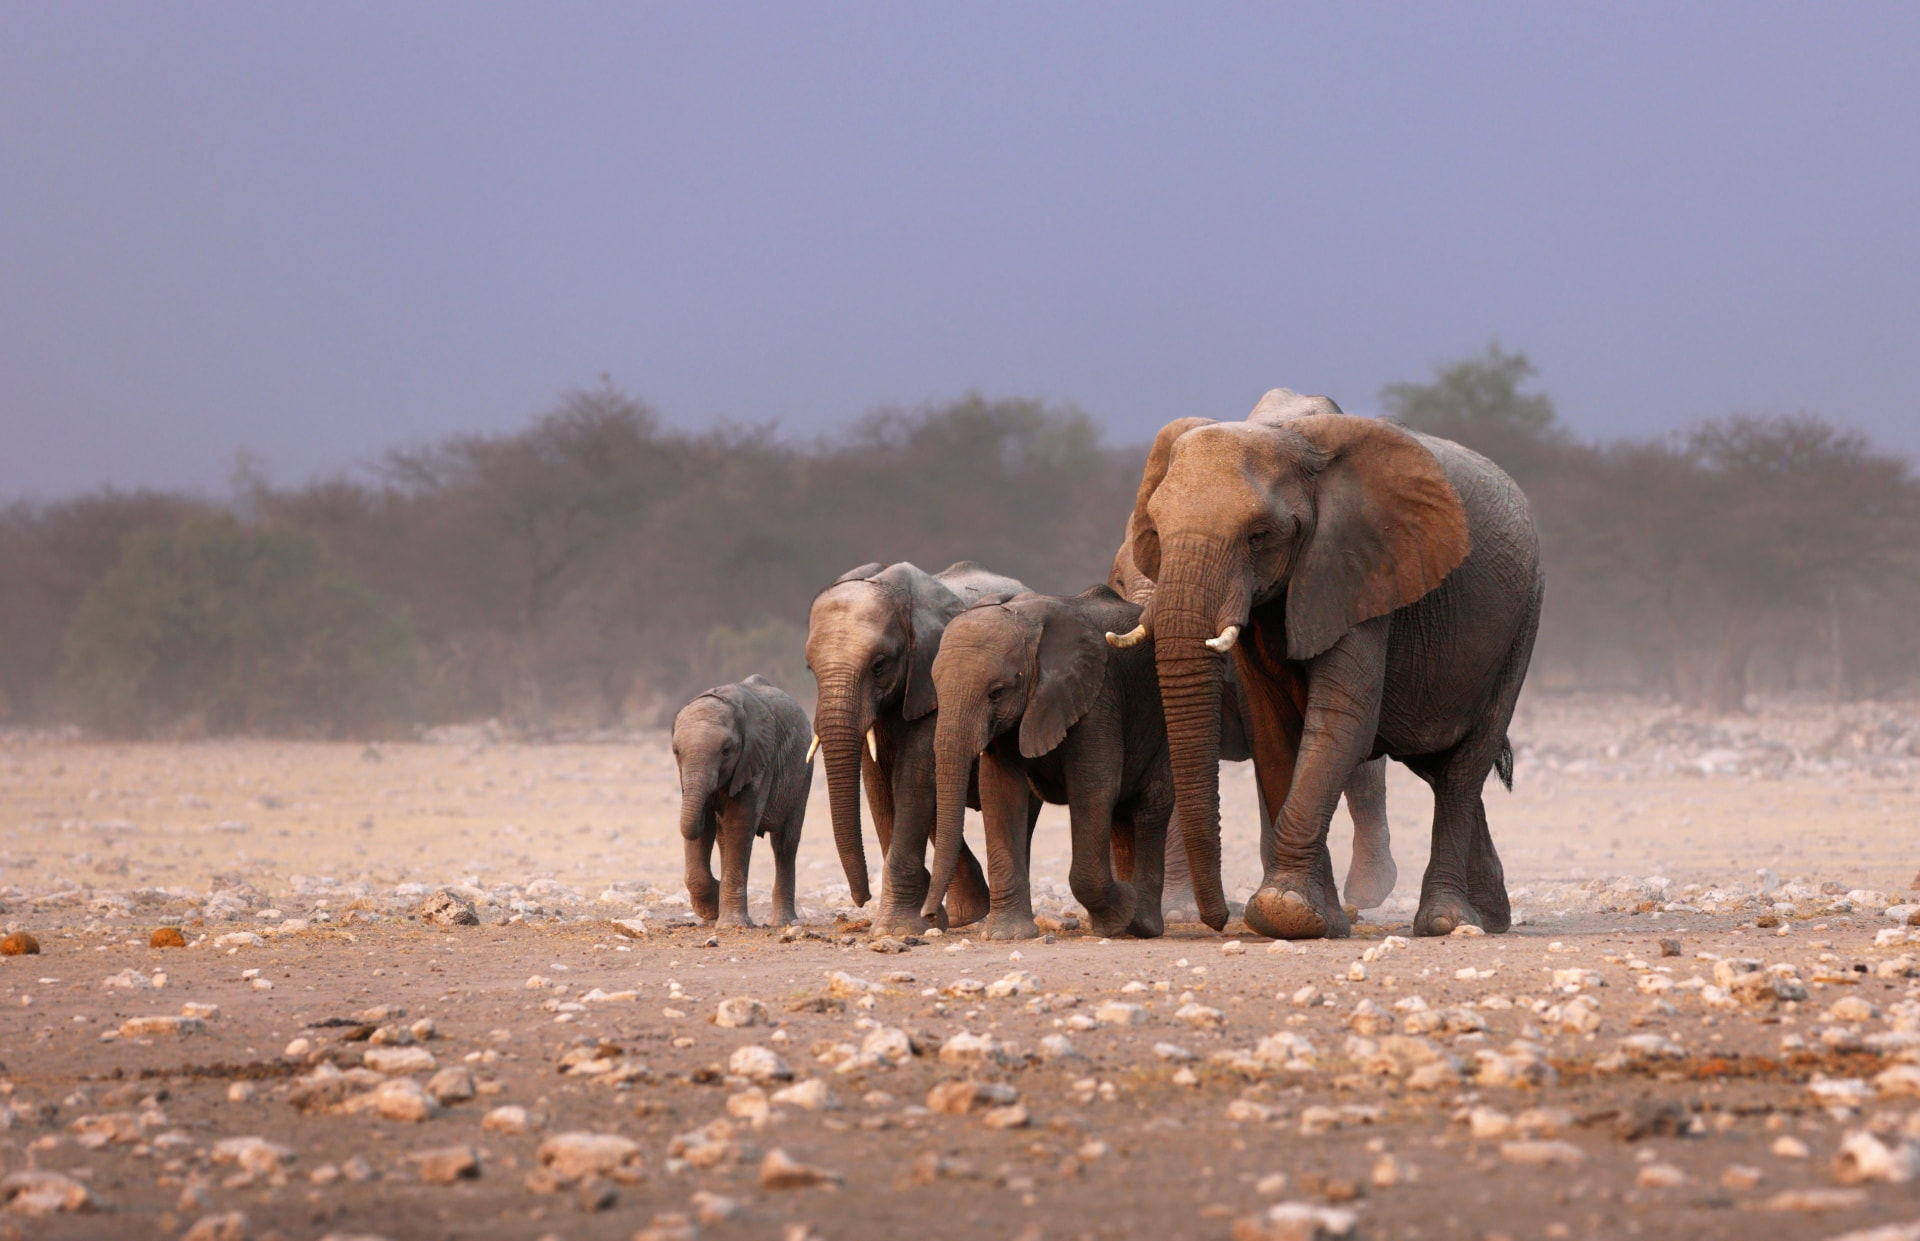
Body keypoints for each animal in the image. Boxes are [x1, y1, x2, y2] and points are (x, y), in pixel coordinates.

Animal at [673, 675, 813, 927]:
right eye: (676, 751)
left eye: (726, 751)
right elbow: (706, 827)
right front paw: (712, 910)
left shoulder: (757, 758)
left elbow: (739, 824)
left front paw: (732, 925)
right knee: (722, 838)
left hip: (803, 773)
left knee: (785, 843)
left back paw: (783, 923)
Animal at [806, 559, 1029, 934]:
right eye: (809, 669)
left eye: (879, 665)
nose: (861, 898)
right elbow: (878, 785)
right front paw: (914, 921)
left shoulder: (933, 685)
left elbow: (912, 780)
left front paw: (894, 929)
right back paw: (962, 915)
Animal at [923, 586, 1172, 940]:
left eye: (996, 693)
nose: (930, 916)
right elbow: (1000, 791)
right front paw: (1007, 935)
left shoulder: (1098, 694)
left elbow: (1094, 786)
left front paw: (1122, 910)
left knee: (1151, 808)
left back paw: (1142, 923)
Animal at [1119, 389, 1543, 940]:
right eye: (1156, 527)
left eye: (1259, 535)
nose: (1218, 921)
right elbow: (1274, 733)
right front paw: (1318, 918)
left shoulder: (1361, 570)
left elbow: (1341, 724)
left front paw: (1285, 910)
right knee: (1435, 762)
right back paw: (1489, 919)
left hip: (1522, 620)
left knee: (1463, 767)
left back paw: (1447, 921)